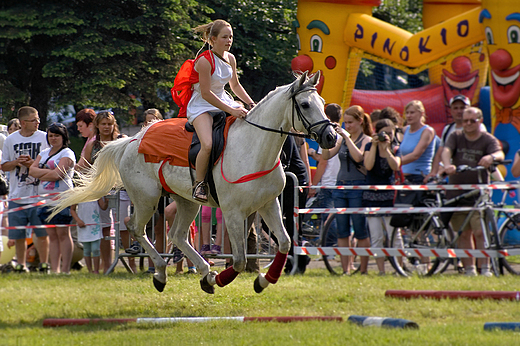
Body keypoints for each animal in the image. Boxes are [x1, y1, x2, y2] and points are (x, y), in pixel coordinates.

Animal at [50, 71, 338, 294]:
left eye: (323, 101)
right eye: (305, 104)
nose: (331, 137)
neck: (253, 148)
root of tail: (132, 140)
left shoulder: (268, 204)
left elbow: (285, 243)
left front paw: (263, 281)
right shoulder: (234, 213)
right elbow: (240, 260)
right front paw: (221, 280)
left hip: (187, 202)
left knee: (176, 235)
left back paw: (203, 271)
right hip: (146, 198)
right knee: (136, 228)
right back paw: (162, 273)